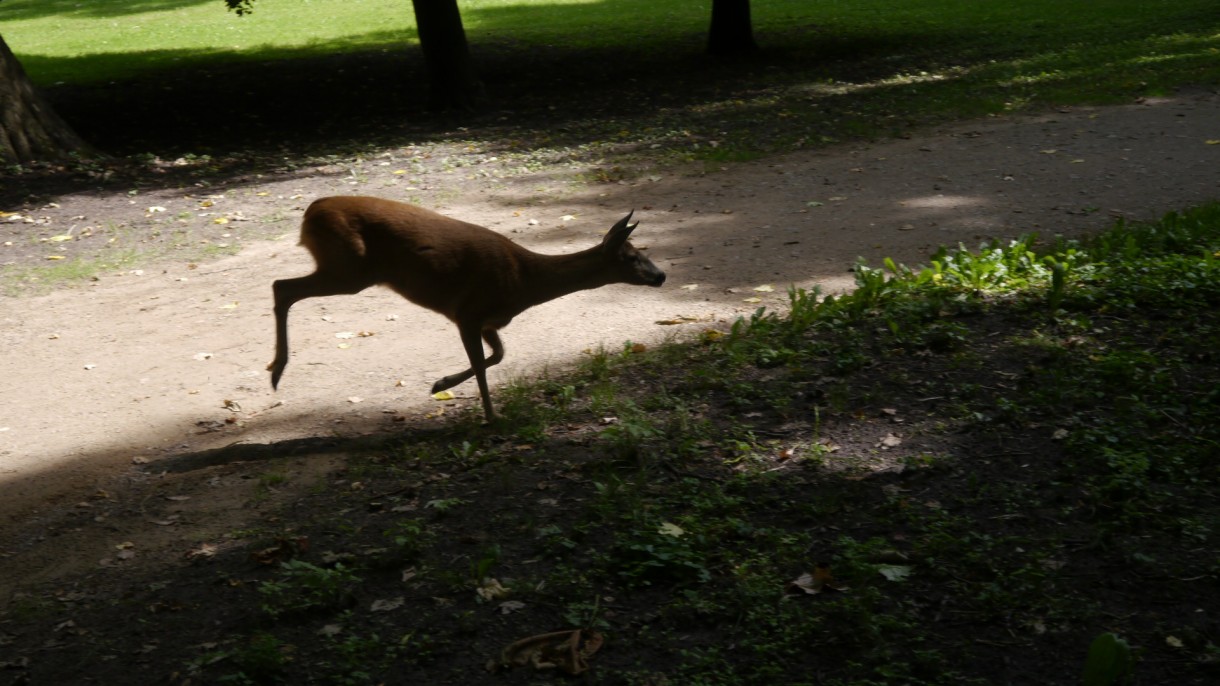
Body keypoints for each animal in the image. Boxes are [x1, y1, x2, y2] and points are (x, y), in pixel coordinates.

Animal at [268, 192, 668, 417]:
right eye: (631, 257)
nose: (661, 276)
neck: (524, 280)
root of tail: (310, 211)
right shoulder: (468, 312)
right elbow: (481, 363)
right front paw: (492, 417)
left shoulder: (489, 320)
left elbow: (499, 355)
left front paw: (438, 384)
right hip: (349, 268)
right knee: (281, 286)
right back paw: (276, 370)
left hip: (346, 268)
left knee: (282, 287)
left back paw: (275, 369)